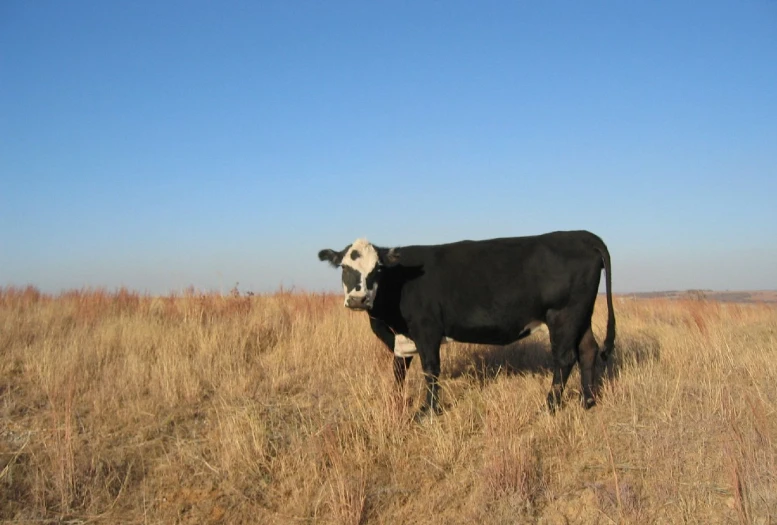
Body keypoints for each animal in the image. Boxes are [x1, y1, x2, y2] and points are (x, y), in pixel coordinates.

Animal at [318, 229, 616, 418]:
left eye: (377, 269)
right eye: (344, 267)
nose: (358, 299)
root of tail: (582, 235)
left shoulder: (427, 330)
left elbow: (431, 370)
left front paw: (427, 412)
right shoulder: (402, 339)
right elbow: (399, 371)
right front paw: (397, 403)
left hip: (563, 315)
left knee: (565, 358)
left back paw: (549, 407)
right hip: (580, 316)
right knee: (588, 350)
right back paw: (587, 400)